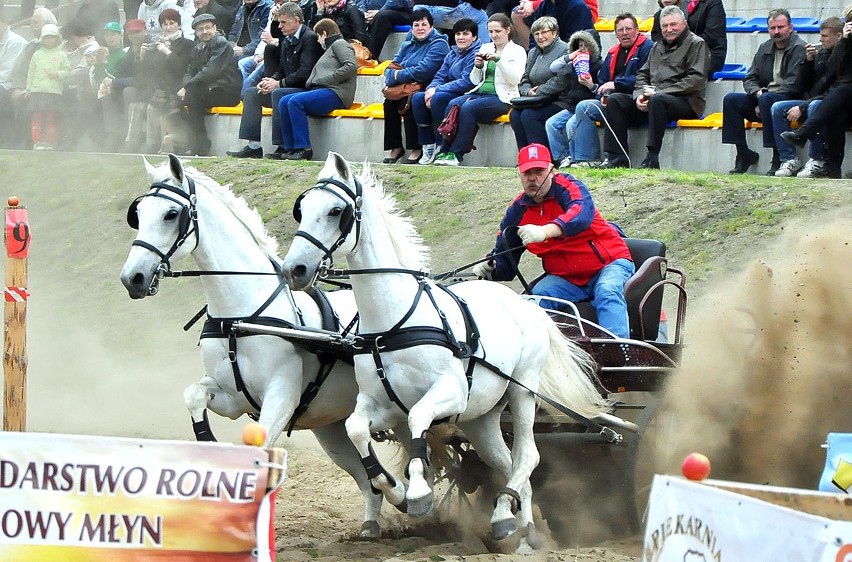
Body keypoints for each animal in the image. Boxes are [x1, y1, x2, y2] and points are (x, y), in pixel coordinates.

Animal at [120, 154, 396, 540]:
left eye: (171, 214)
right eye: (139, 213)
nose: (133, 277)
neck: (242, 315)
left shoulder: (280, 397)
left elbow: (261, 448)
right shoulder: (230, 397)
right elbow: (193, 395)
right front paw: (210, 448)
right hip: (332, 428)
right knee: (365, 477)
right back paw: (375, 521)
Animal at [282, 152, 608, 548]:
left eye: (335, 211)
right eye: (301, 209)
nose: (294, 268)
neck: (397, 320)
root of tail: (524, 303)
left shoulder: (449, 393)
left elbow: (418, 420)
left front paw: (418, 492)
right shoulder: (379, 404)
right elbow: (357, 430)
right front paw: (396, 490)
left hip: (522, 390)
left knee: (527, 457)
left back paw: (515, 523)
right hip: (482, 416)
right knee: (507, 464)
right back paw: (519, 528)